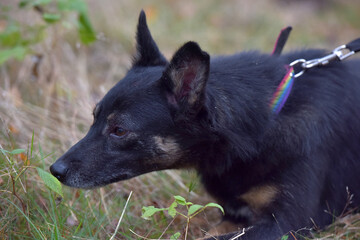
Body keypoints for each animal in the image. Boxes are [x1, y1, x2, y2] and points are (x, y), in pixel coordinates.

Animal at [50, 10, 360, 239]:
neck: (265, 124)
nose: (55, 171)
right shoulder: (232, 216)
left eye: (119, 130)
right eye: (94, 117)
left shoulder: (287, 223)